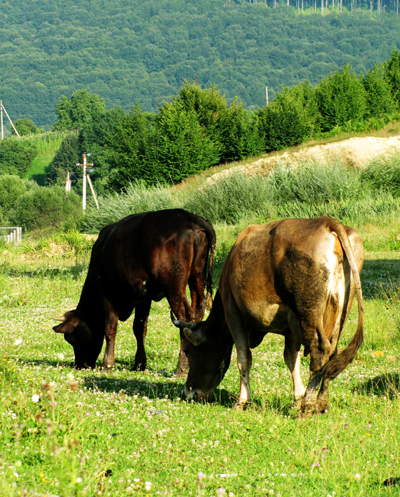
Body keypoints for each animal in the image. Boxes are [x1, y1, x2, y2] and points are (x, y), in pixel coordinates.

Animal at [53, 209, 216, 377]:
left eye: (71, 338)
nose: (80, 365)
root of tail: (191, 218)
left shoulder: (106, 293)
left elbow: (110, 327)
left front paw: (107, 364)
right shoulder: (144, 297)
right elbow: (139, 328)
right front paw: (139, 363)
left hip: (174, 287)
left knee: (185, 318)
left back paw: (181, 367)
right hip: (197, 276)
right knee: (198, 310)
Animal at [171, 216, 364, 414]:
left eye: (188, 351)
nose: (189, 392)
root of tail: (327, 222)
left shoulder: (233, 313)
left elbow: (243, 359)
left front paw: (242, 400)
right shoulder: (291, 324)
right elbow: (291, 358)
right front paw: (297, 397)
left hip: (308, 313)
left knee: (320, 351)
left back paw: (308, 405)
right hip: (339, 311)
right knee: (332, 353)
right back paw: (321, 403)